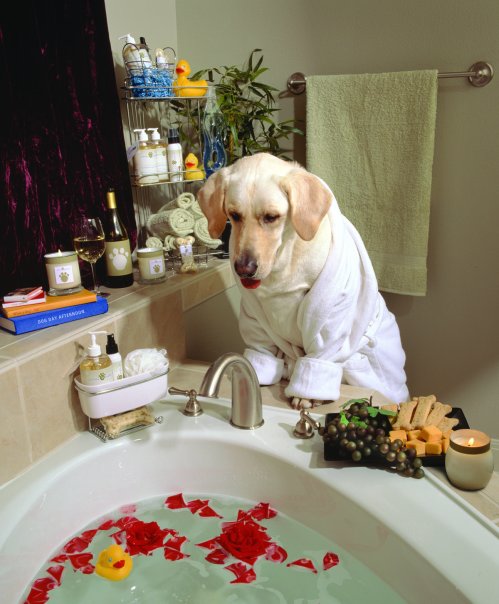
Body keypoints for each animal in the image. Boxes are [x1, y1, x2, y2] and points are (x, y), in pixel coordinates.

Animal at [199, 153, 410, 408]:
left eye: (271, 217)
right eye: (234, 215)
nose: (244, 269)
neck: (284, 264)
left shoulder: (329, 320)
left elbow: (320, 357)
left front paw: (306, 395)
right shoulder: (255, 319)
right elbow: (261, 351)